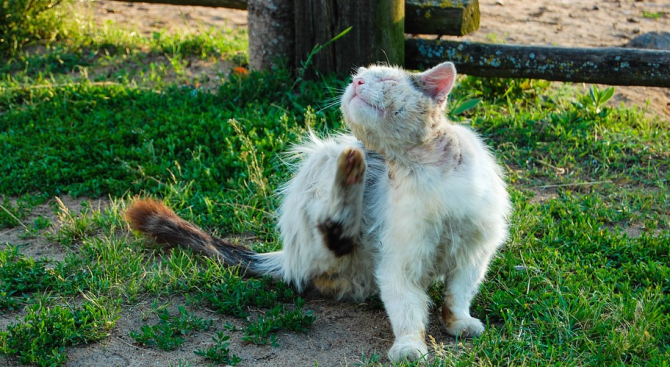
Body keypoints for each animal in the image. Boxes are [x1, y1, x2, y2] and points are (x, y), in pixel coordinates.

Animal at [126, 61, 512, 364]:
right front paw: (408, 346)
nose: (356, 83)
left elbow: (457, 294)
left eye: (386, 80)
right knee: (330, 233)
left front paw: (459, 322)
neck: (422, 168)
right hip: (324, 158)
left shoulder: (474, 252)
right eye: (358, 76)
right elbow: (406, 309)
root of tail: (287, 255)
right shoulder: (400, 262)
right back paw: (351, 173)